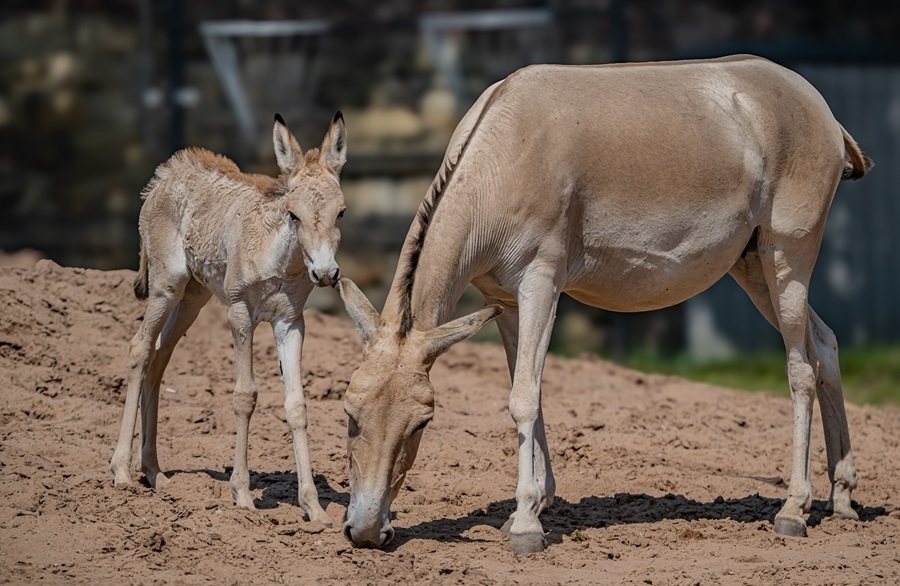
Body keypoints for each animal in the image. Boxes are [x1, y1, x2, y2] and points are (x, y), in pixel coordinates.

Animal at [111, 110, 348, 524]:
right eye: (294, 214)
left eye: (341, 212)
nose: (324, 273)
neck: (281, 262)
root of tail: (165, 174)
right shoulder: (240, 313)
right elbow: (245, 395)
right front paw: (242, 494)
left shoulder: (290, 323)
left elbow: (297, 405)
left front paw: (314, 507)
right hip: (166, 287)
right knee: (139, 348)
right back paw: (122, 471)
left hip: (194, 297)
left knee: (159, 357)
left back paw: (154, 472)